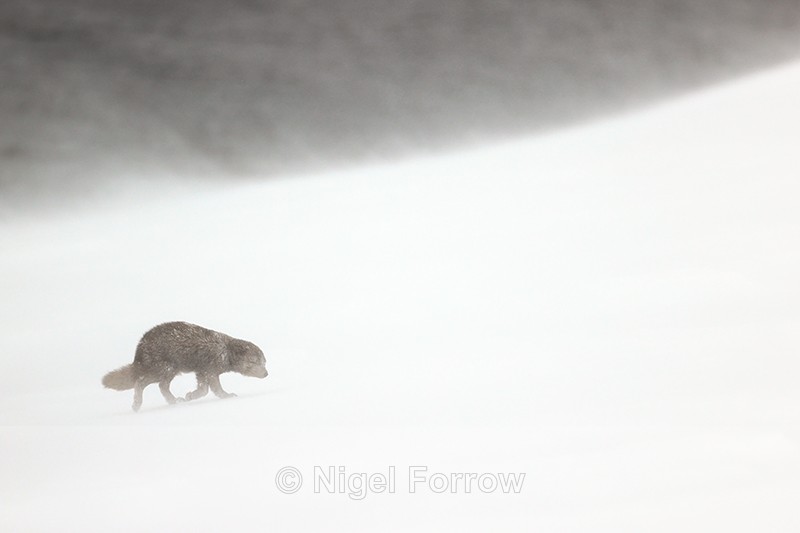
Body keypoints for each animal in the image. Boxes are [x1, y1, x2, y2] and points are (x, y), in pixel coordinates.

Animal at [102, 321, 268, 412]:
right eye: (255, 362)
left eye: (264, 362)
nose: (266, 374)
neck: (225, 351)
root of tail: (139, 350)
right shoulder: (210, 371)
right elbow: (214, 390)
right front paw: (226, 396)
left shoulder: (202, 372)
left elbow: (203, 390)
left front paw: (190, 396)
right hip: (163, 369)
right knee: (142, 382)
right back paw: (138, 404)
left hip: (169, 371)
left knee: (161, 386)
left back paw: (174, 401)